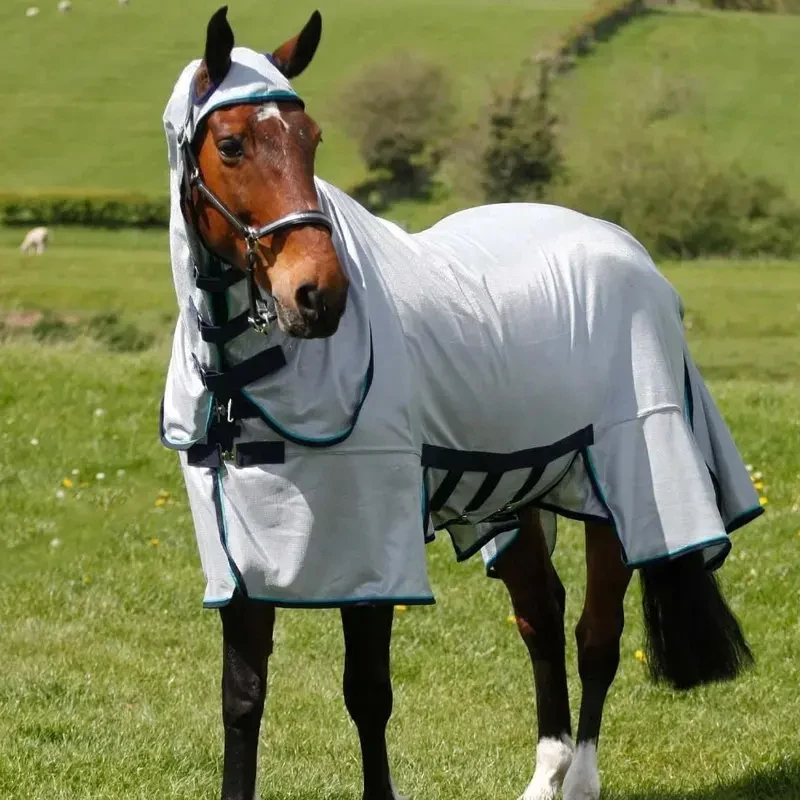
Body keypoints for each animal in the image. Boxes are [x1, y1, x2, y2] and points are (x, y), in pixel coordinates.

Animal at [160, 8, 762, 800]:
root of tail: (631, 252)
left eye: (311, 138)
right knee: (542, 618)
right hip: (521, 491)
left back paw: (580, 781)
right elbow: (242, 697)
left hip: (625, 482)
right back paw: (546, 776)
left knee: (597, 636)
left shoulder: (371, 546)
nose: (319, 295)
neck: (251, 380)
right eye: (229, 144)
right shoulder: (241, 557)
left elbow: (367, 694)